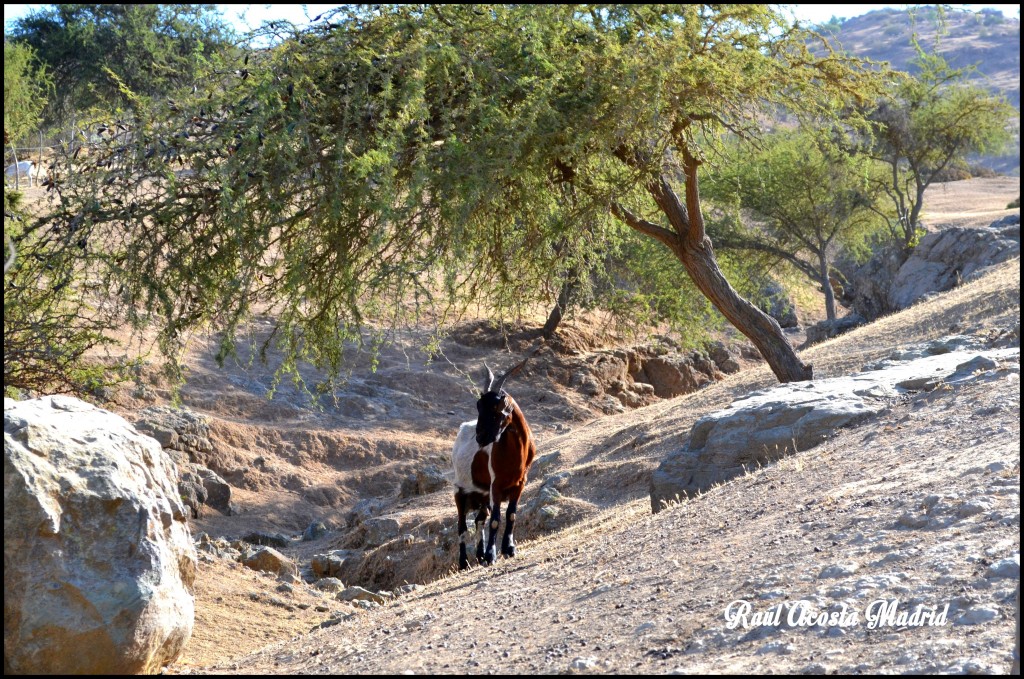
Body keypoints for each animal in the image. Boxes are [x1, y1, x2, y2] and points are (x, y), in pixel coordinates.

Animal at [452, 352, 540, 569]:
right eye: (478, 406)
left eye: (495, 407)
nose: (480, 437)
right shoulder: (496, 485)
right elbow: (496, 519)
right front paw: (492, 555)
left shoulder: (520, 483)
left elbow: (511, 515)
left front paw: (509, 549)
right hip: (460, 491)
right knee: (461, 526)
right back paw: (464, 563)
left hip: (482, 494)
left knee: (479, 520)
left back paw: (479, 556)